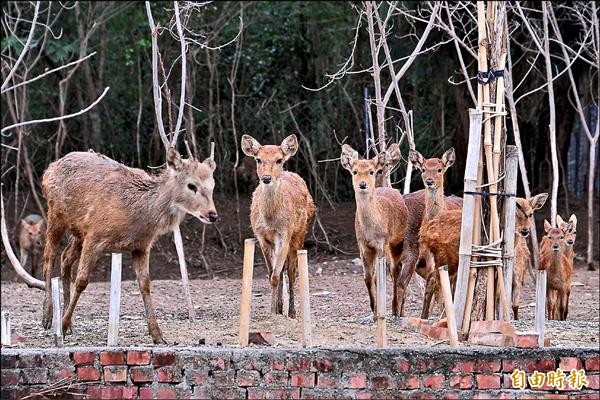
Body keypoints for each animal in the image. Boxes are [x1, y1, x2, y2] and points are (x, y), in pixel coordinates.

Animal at [38, 148, 216, 342]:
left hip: (78, 231)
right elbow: (82, 281)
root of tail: (49, 168)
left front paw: (157, 334)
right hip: (56, 214)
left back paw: (68, 322)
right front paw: (61, 327)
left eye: (212, 185)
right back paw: (48, 317)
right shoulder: (94, 235)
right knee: (48, 258)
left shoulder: (141, 247)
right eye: (191, 185)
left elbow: (145, 284)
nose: (212, 214)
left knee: (65, 258)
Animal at [240, 134, 314, 318]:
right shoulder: (261, 237)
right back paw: (281, 308)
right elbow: (271, 274)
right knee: (281, 271)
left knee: (292, 272)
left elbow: (277, 275)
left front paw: (274, 311)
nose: (266, 178)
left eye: (279, 159)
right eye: (258, 159)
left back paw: (292, 312)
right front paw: (274, 310)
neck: (270, 220)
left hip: (299, 235)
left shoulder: (284, 235)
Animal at [340, 142, 410, 318]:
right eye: (355, 171)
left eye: (371, 171)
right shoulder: (362, 245)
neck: (371, 232)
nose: (362, 184)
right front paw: (373, 310)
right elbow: (367, 277)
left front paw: (380, 311)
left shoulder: (382, 243)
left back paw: (397, 310)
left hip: (396, 241)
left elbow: (380, 277)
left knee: (395, 271)